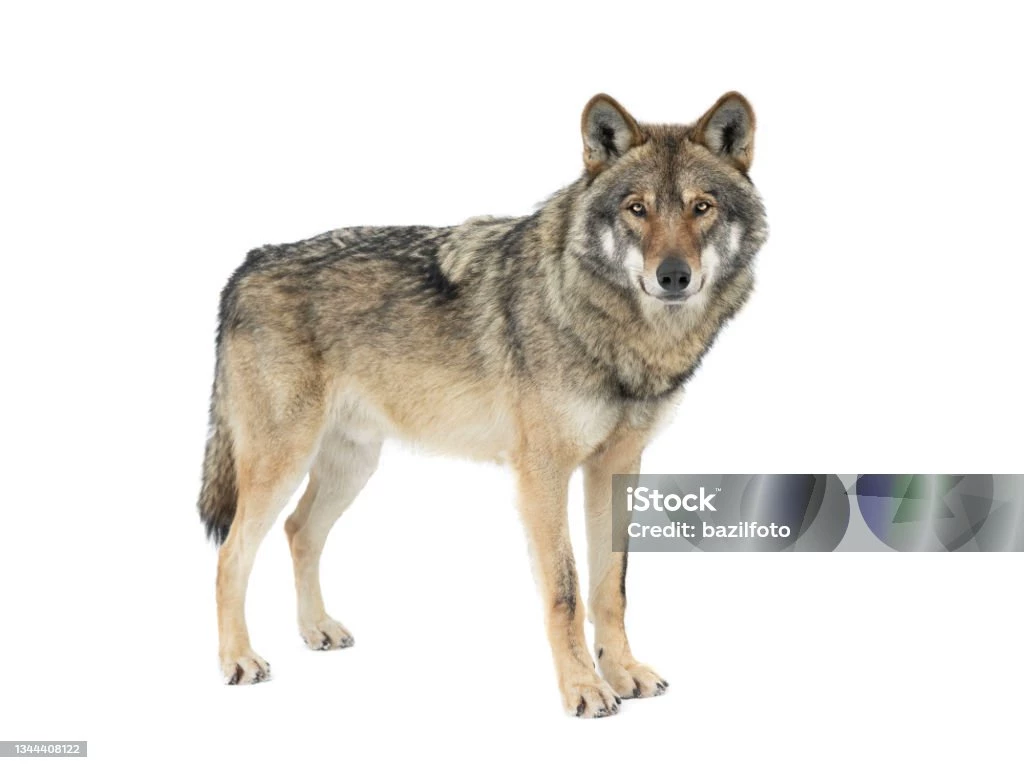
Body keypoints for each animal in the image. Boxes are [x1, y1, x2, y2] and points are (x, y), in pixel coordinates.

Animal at [198, 91, 767, 717]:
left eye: (701, 207)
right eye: (637, 209)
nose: (673, 277)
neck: (609, 326)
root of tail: (246, 265)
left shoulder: (617, 467)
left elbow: (610, 586)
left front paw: (623, 673)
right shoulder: (542, 474)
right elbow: (567, 591)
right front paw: (583, 689)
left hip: (352, 466)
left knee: (299, 531)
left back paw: (317, 629)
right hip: (281, 464)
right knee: (231, 554)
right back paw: (238, 660)